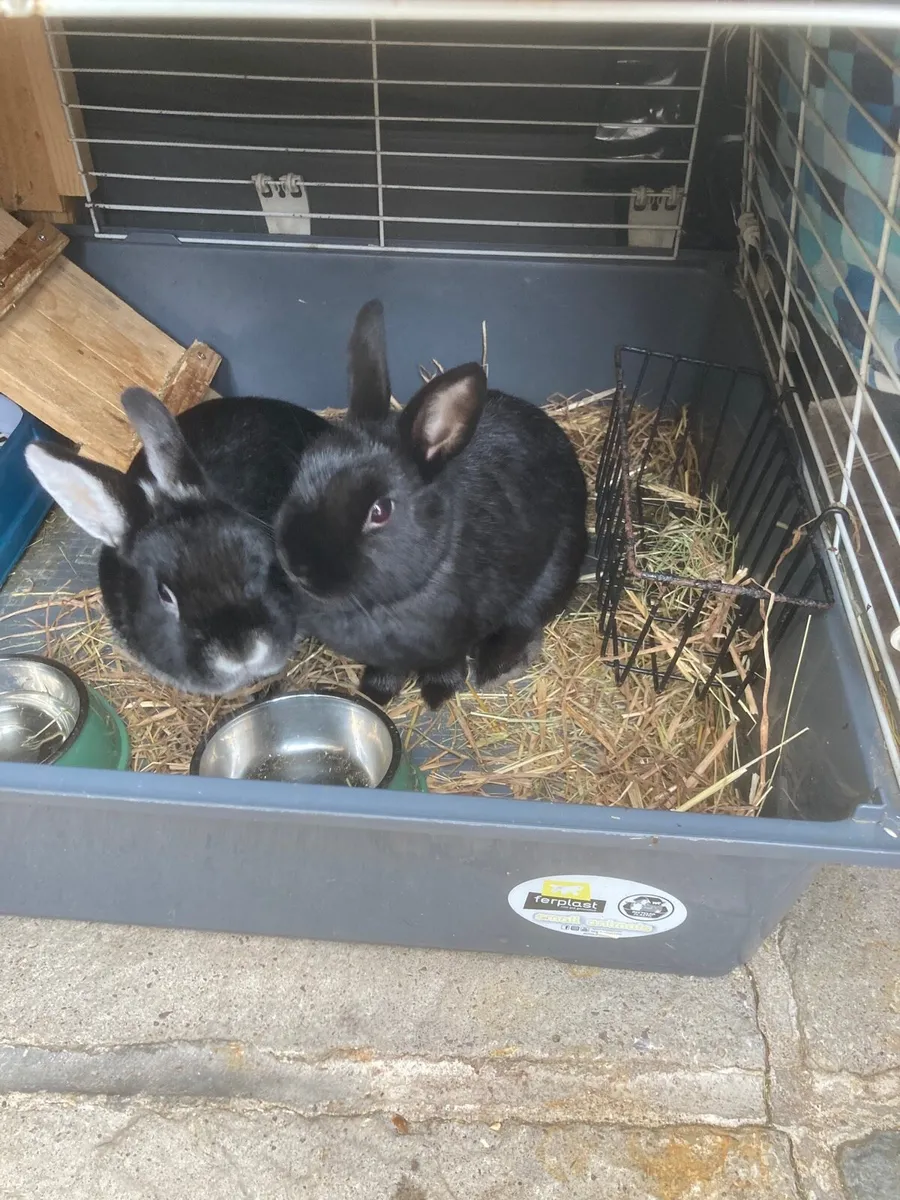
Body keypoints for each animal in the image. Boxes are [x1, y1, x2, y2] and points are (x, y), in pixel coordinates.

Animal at [275, 299, 588, 709]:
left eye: (380, 511)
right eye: (303, 468)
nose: (297, 565)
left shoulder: (455, 637)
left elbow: (446, 663)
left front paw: (437, 694)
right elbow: (386, 670)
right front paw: (375, 694)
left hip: (551, 573)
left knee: (523, 622)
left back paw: (495, 668)